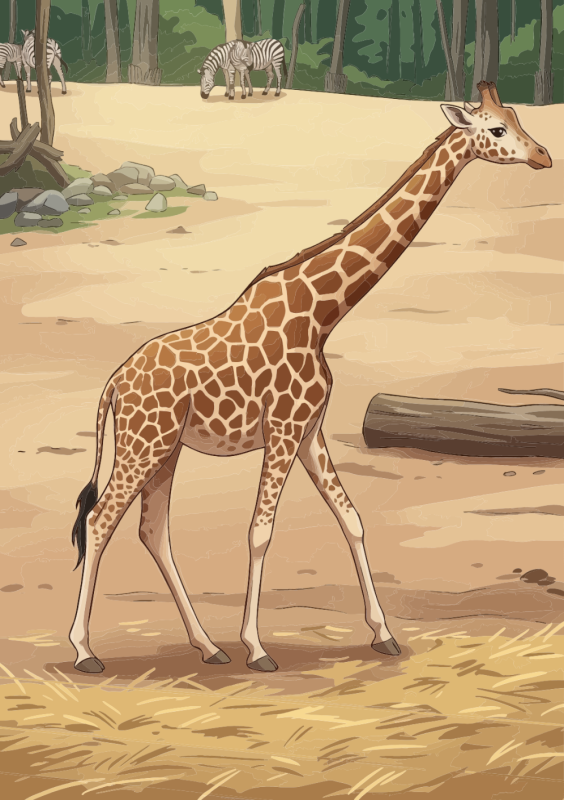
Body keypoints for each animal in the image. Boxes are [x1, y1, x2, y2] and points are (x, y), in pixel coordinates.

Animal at [70, 82, 551, 674]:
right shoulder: (282, 430)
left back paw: (207, 646)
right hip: (145, 443)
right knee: (100, 520)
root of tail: (114, 383)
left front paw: (384, 635)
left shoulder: (309, 431)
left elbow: (352, 519)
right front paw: (257, 648)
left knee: (151, 530)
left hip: (166, 448)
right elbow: (260, 532)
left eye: (518, 118)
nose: (544, 156)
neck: (322, 313)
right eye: (498, 128)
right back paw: (85, 651)